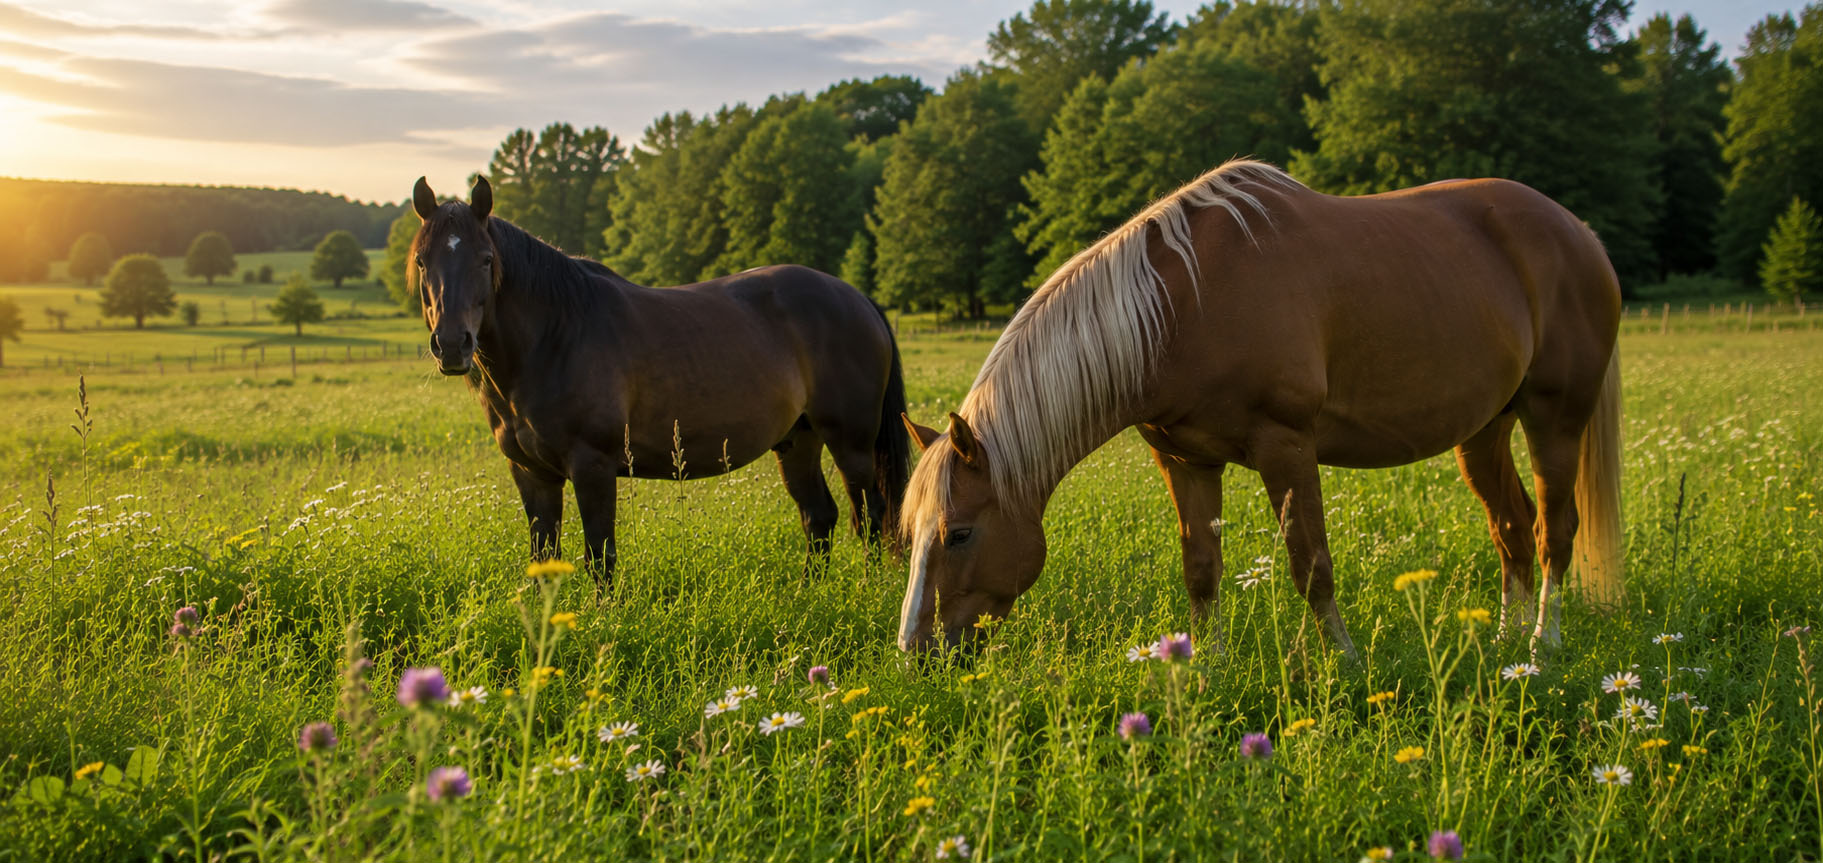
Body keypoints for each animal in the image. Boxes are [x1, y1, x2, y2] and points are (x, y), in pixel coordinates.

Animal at [409, 176, 910, 582]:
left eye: (485, 259)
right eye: (421, 262)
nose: (452, 344)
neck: (556, 336)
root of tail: (856, 297)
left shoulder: (592, 466)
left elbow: (600, 556)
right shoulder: (532, 474)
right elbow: (543, 556)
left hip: (851, 444)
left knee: (870, 517)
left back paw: (864, 589)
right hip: (797, 440)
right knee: (818, 517)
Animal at [896, 160, 1622, 658]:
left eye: (959, 533)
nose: (913, 653)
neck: (1179, 306)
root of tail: (1578, 233)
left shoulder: (1287, 447)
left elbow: (1312, 565)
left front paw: (1344, 663)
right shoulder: (1184, 460)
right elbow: (1200, 570)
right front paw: (1207, 665)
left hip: (1555, 418)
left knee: (1553, 531)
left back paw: (1543, 645)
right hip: (1484, 431)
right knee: (1511, 526)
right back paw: (1506, 647)